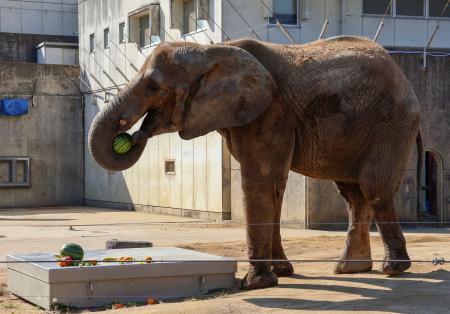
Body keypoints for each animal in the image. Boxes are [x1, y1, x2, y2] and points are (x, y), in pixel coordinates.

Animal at [88, 36, 422, 290]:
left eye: (154, 87)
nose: (133, 134)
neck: (211, 50)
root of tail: (404, 77)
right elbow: (274, 188)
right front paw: (283, 273)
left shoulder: (269, 113)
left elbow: (258, 181)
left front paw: (254, 283)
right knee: (353, 195)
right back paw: (350, 269)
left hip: (390, 123)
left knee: (373, 189)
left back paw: (393, 269)